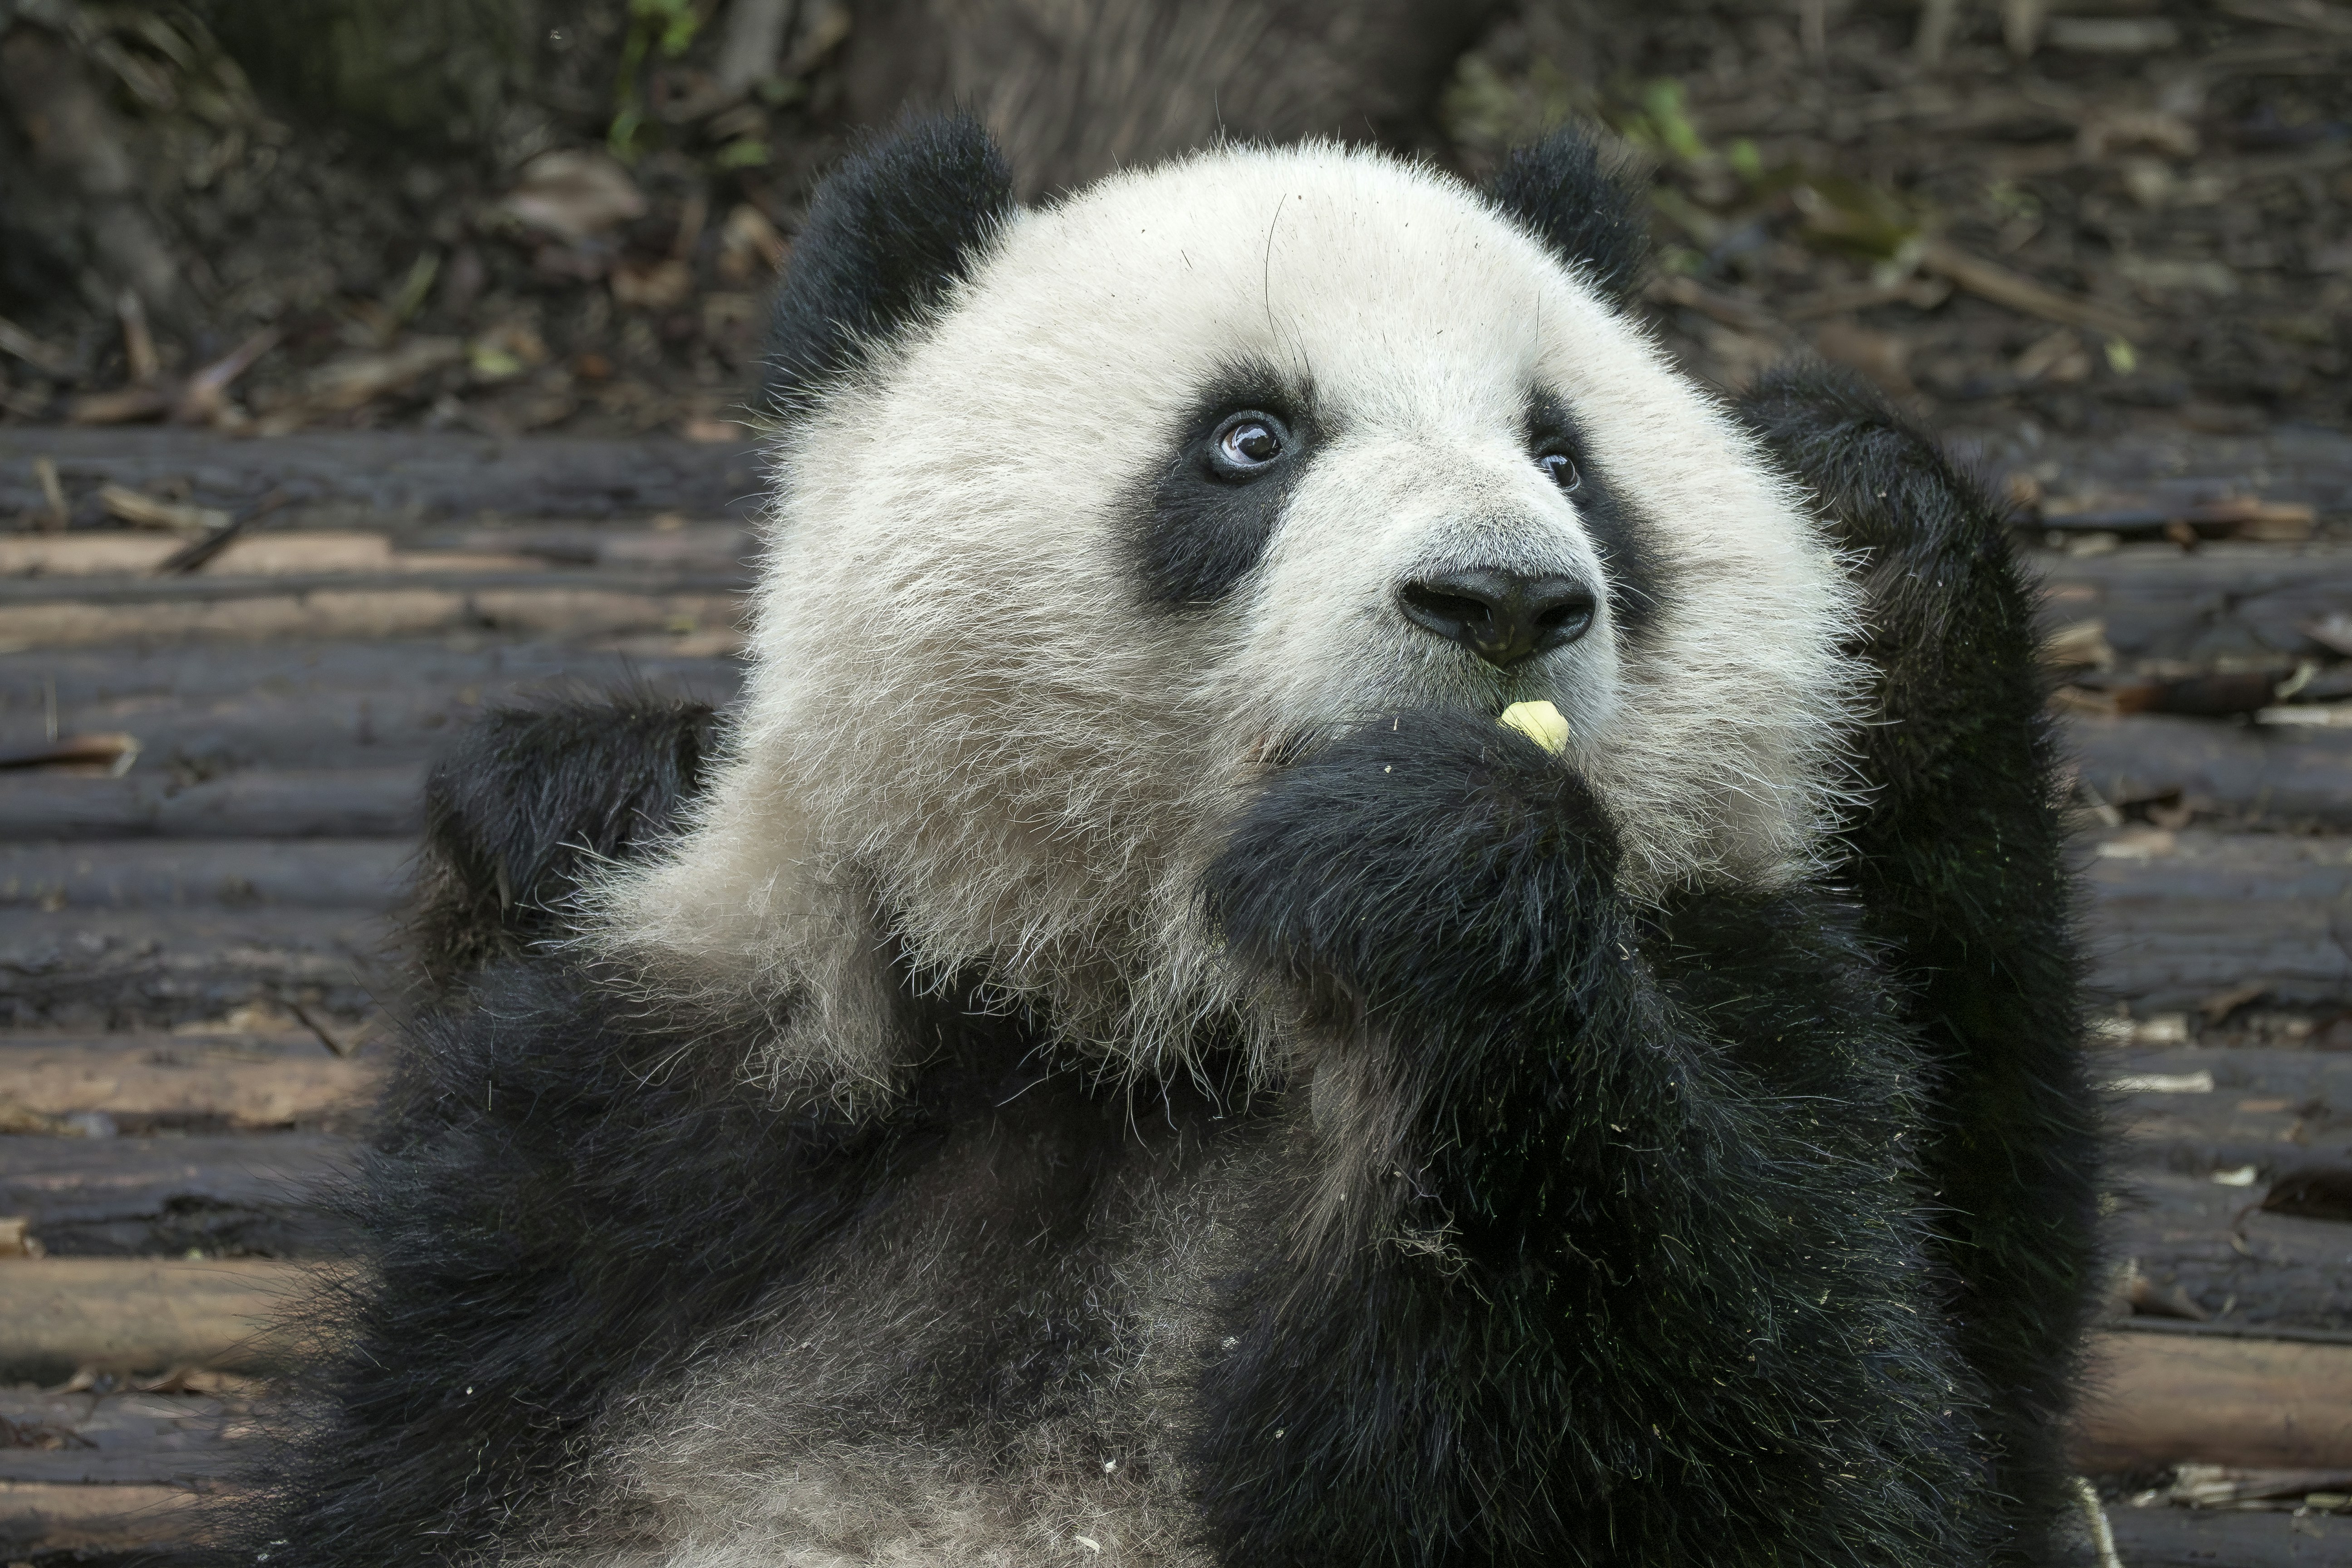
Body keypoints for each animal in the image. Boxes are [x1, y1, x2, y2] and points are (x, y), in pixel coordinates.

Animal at [237, 117, 2101, 1567]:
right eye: (1250, 439)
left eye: (1566, 457)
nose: (1503, 596)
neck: (1163, 1037)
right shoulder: (662, 1127)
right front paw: (575, 788)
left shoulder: (1765, 1017)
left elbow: (1781, 1449)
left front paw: (1430, 879)